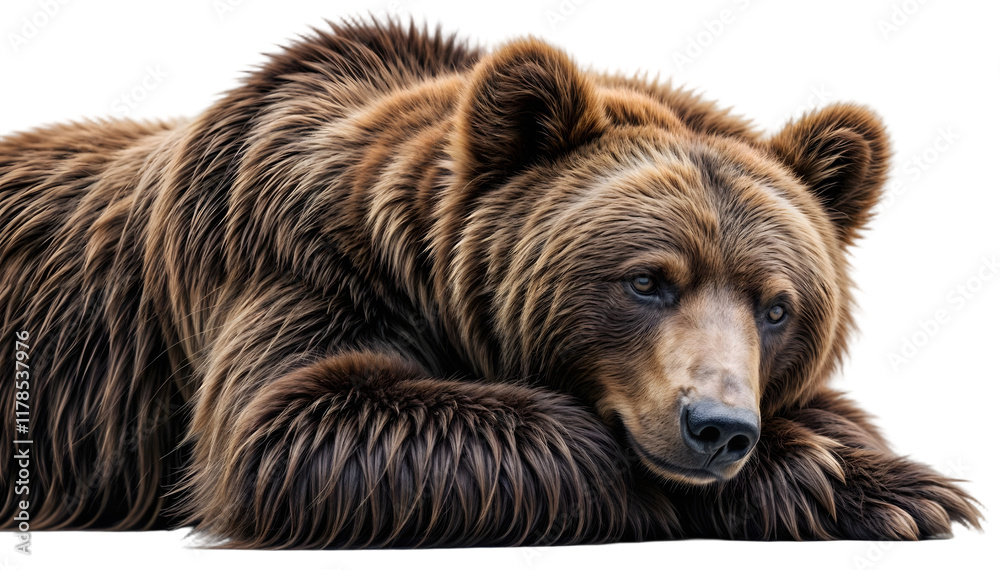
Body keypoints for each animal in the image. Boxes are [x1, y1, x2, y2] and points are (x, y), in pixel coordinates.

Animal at [0, 19, 982, 547]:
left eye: (777, 306)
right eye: (647, 282)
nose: (719, 428)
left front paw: (898, 484)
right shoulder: (292, 264)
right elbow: (298, 424)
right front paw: (814, 473)